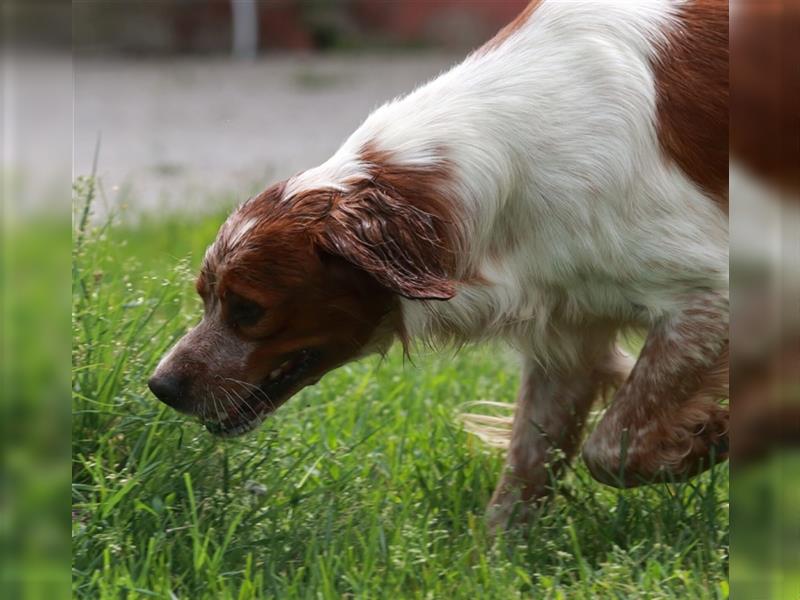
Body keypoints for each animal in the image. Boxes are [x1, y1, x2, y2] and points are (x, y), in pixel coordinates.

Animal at [147, 2, 728, 532]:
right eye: (204, 298)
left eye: (247, 309)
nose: (160, 386)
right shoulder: (568, 330)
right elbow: (527, 471)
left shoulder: (710, 297)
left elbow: (611, 450)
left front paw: (712, 435)